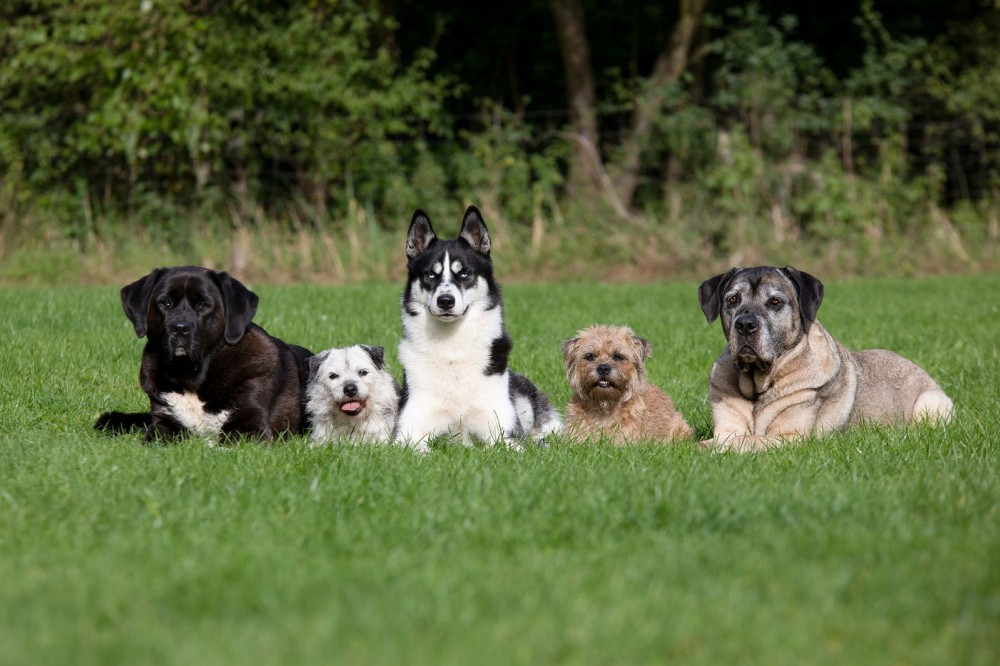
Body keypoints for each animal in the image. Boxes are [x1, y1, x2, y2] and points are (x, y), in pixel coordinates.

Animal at [96, 264, 312, 440]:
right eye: (165, 303)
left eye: (203, 304)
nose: (180, 328)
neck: (190, 377)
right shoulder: (163, 422)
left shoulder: (250, 426)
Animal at [700, 266, 948, 452]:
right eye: (733, 300)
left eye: (775, 302)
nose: (744, 325)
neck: (759, 384)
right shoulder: (727, 425)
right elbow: (726, 438)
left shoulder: (791, 436)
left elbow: (744, 441)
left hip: (931, 403)